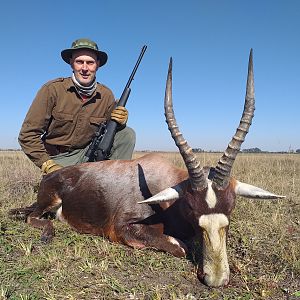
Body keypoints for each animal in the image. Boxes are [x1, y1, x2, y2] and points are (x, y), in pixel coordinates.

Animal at [9, 49, 284, 288]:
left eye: (231, 208)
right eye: (191, 207)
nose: (216, 279)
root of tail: (55, 175)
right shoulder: (124, 228)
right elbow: (180, 246)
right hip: (49, 202)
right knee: (33, 217)